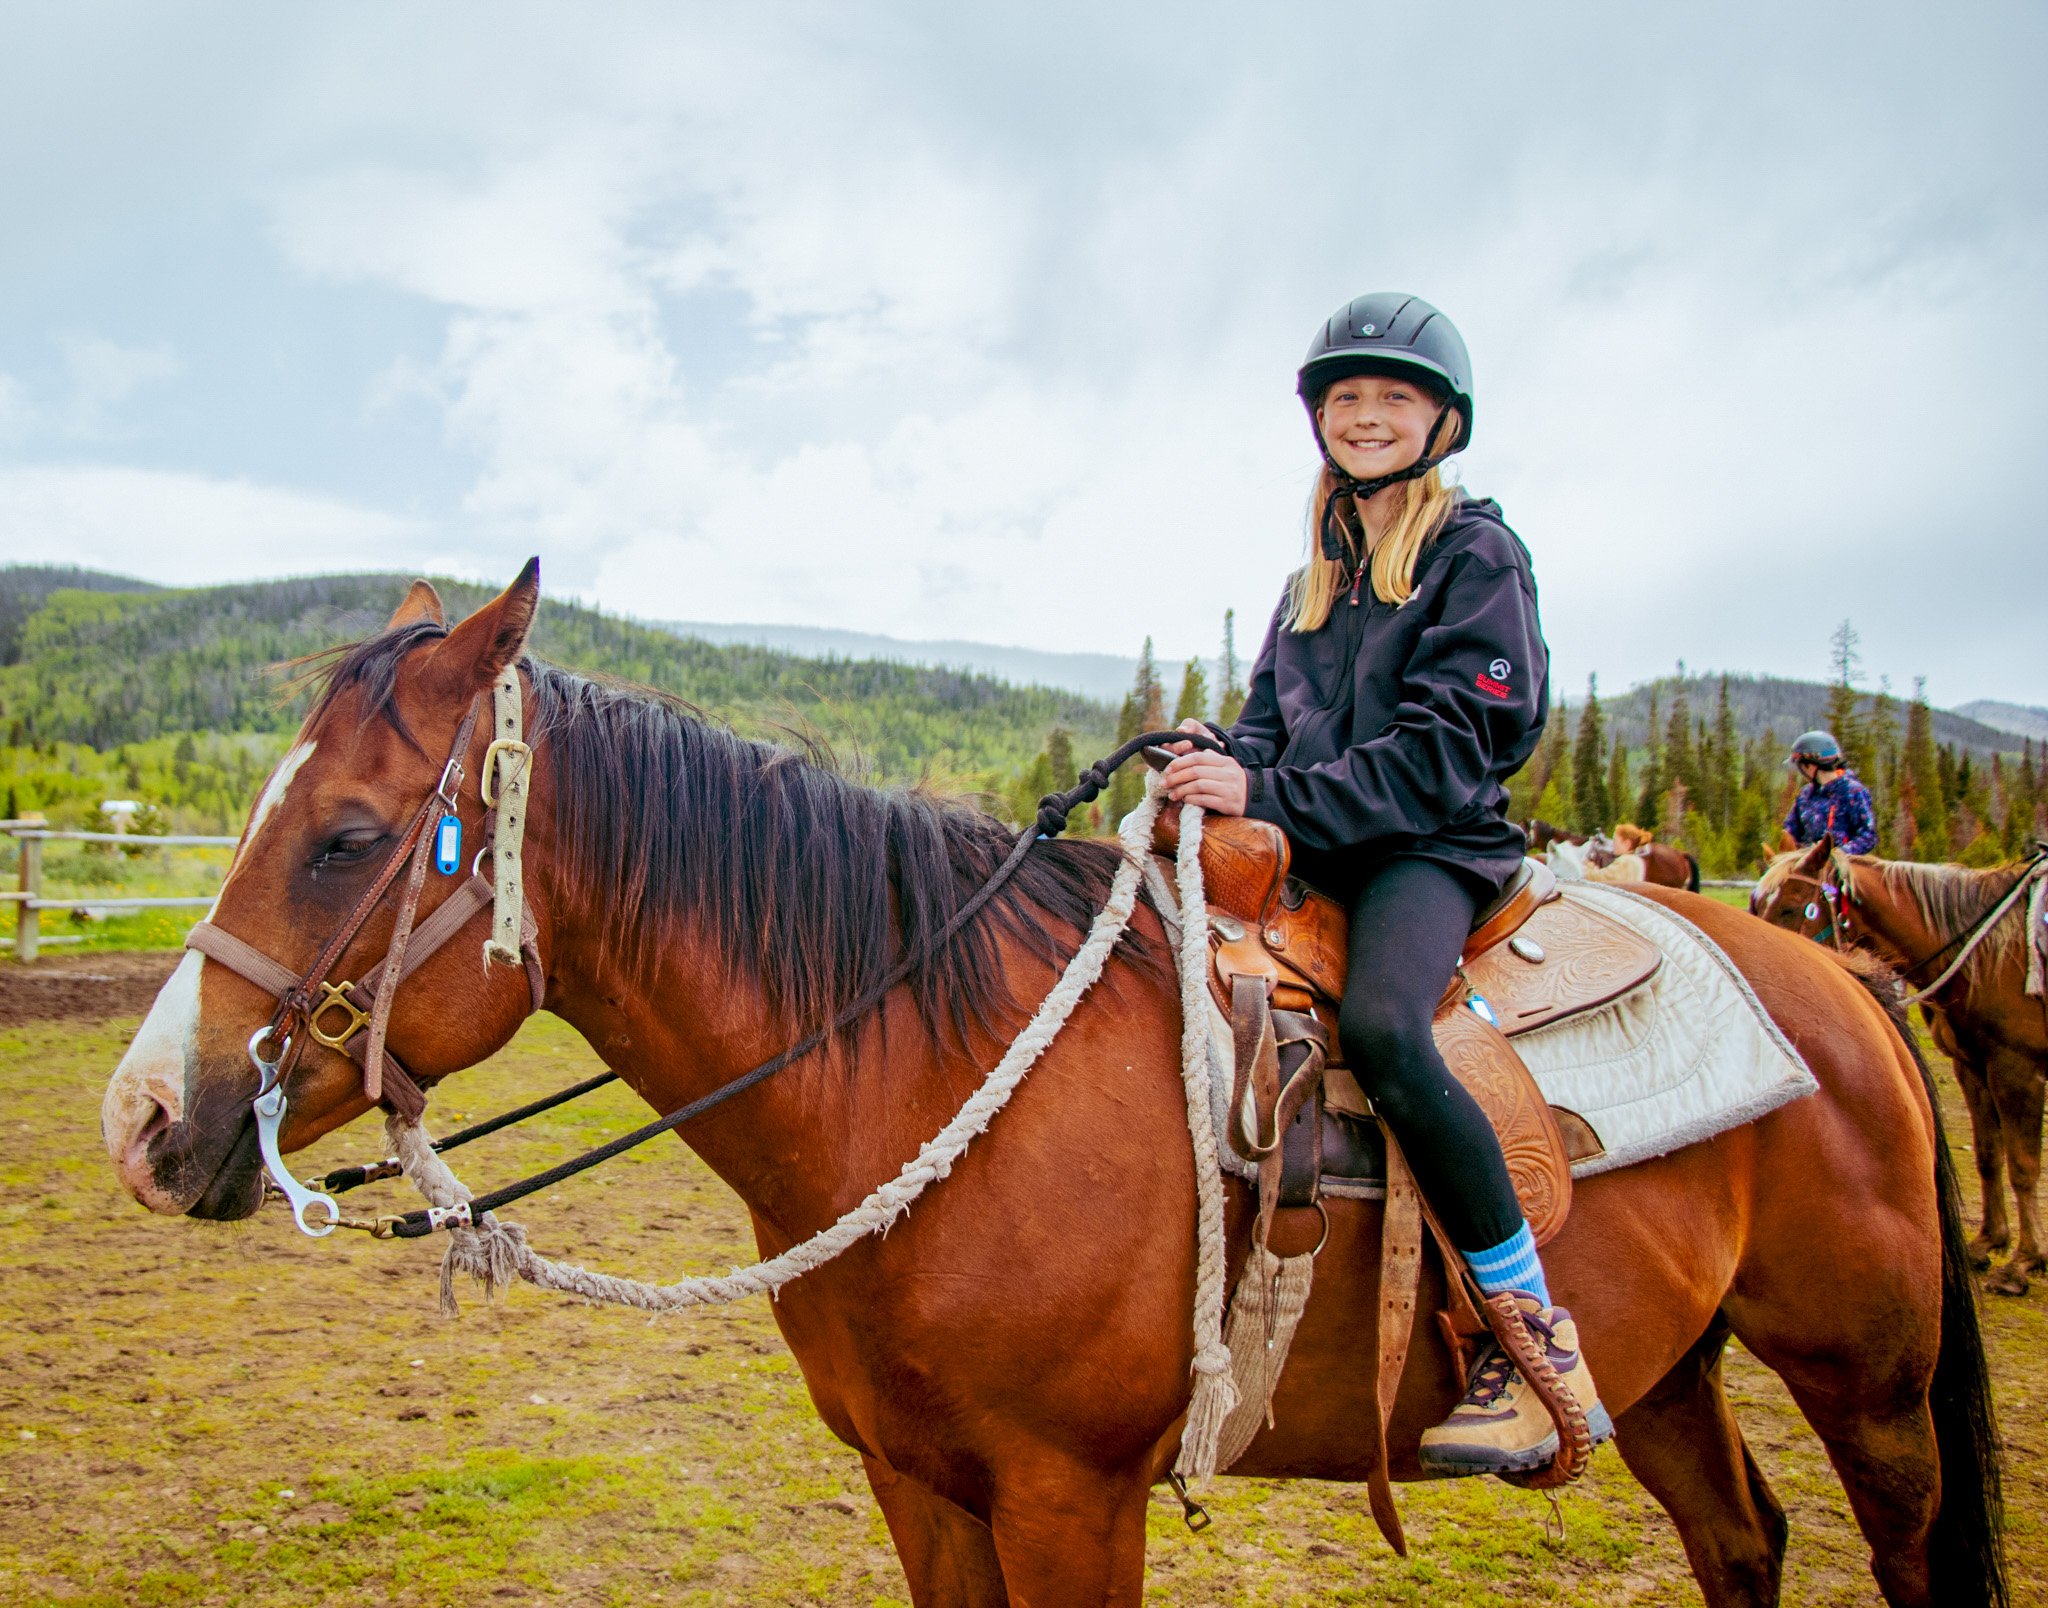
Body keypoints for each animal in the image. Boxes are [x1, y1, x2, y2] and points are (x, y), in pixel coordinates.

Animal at [103, 569, 2007, 1605]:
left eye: (348, 835)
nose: (142, 1120)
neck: (924, 1079)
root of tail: (1840, 987)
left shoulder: (1071, 1497)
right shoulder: (922, 1484)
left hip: (1868, 1377)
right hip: (1668, 1365)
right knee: (1743, 1539)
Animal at [1753, 839, 2039, 1294]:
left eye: (1791, 907)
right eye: (1758, 901)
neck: (1986, 953)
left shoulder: (2015, 1067)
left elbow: (2023, 1165)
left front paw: (2022, 1264)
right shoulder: (1972, 1067)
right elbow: (1988, 1155)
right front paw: (1988, 1242)